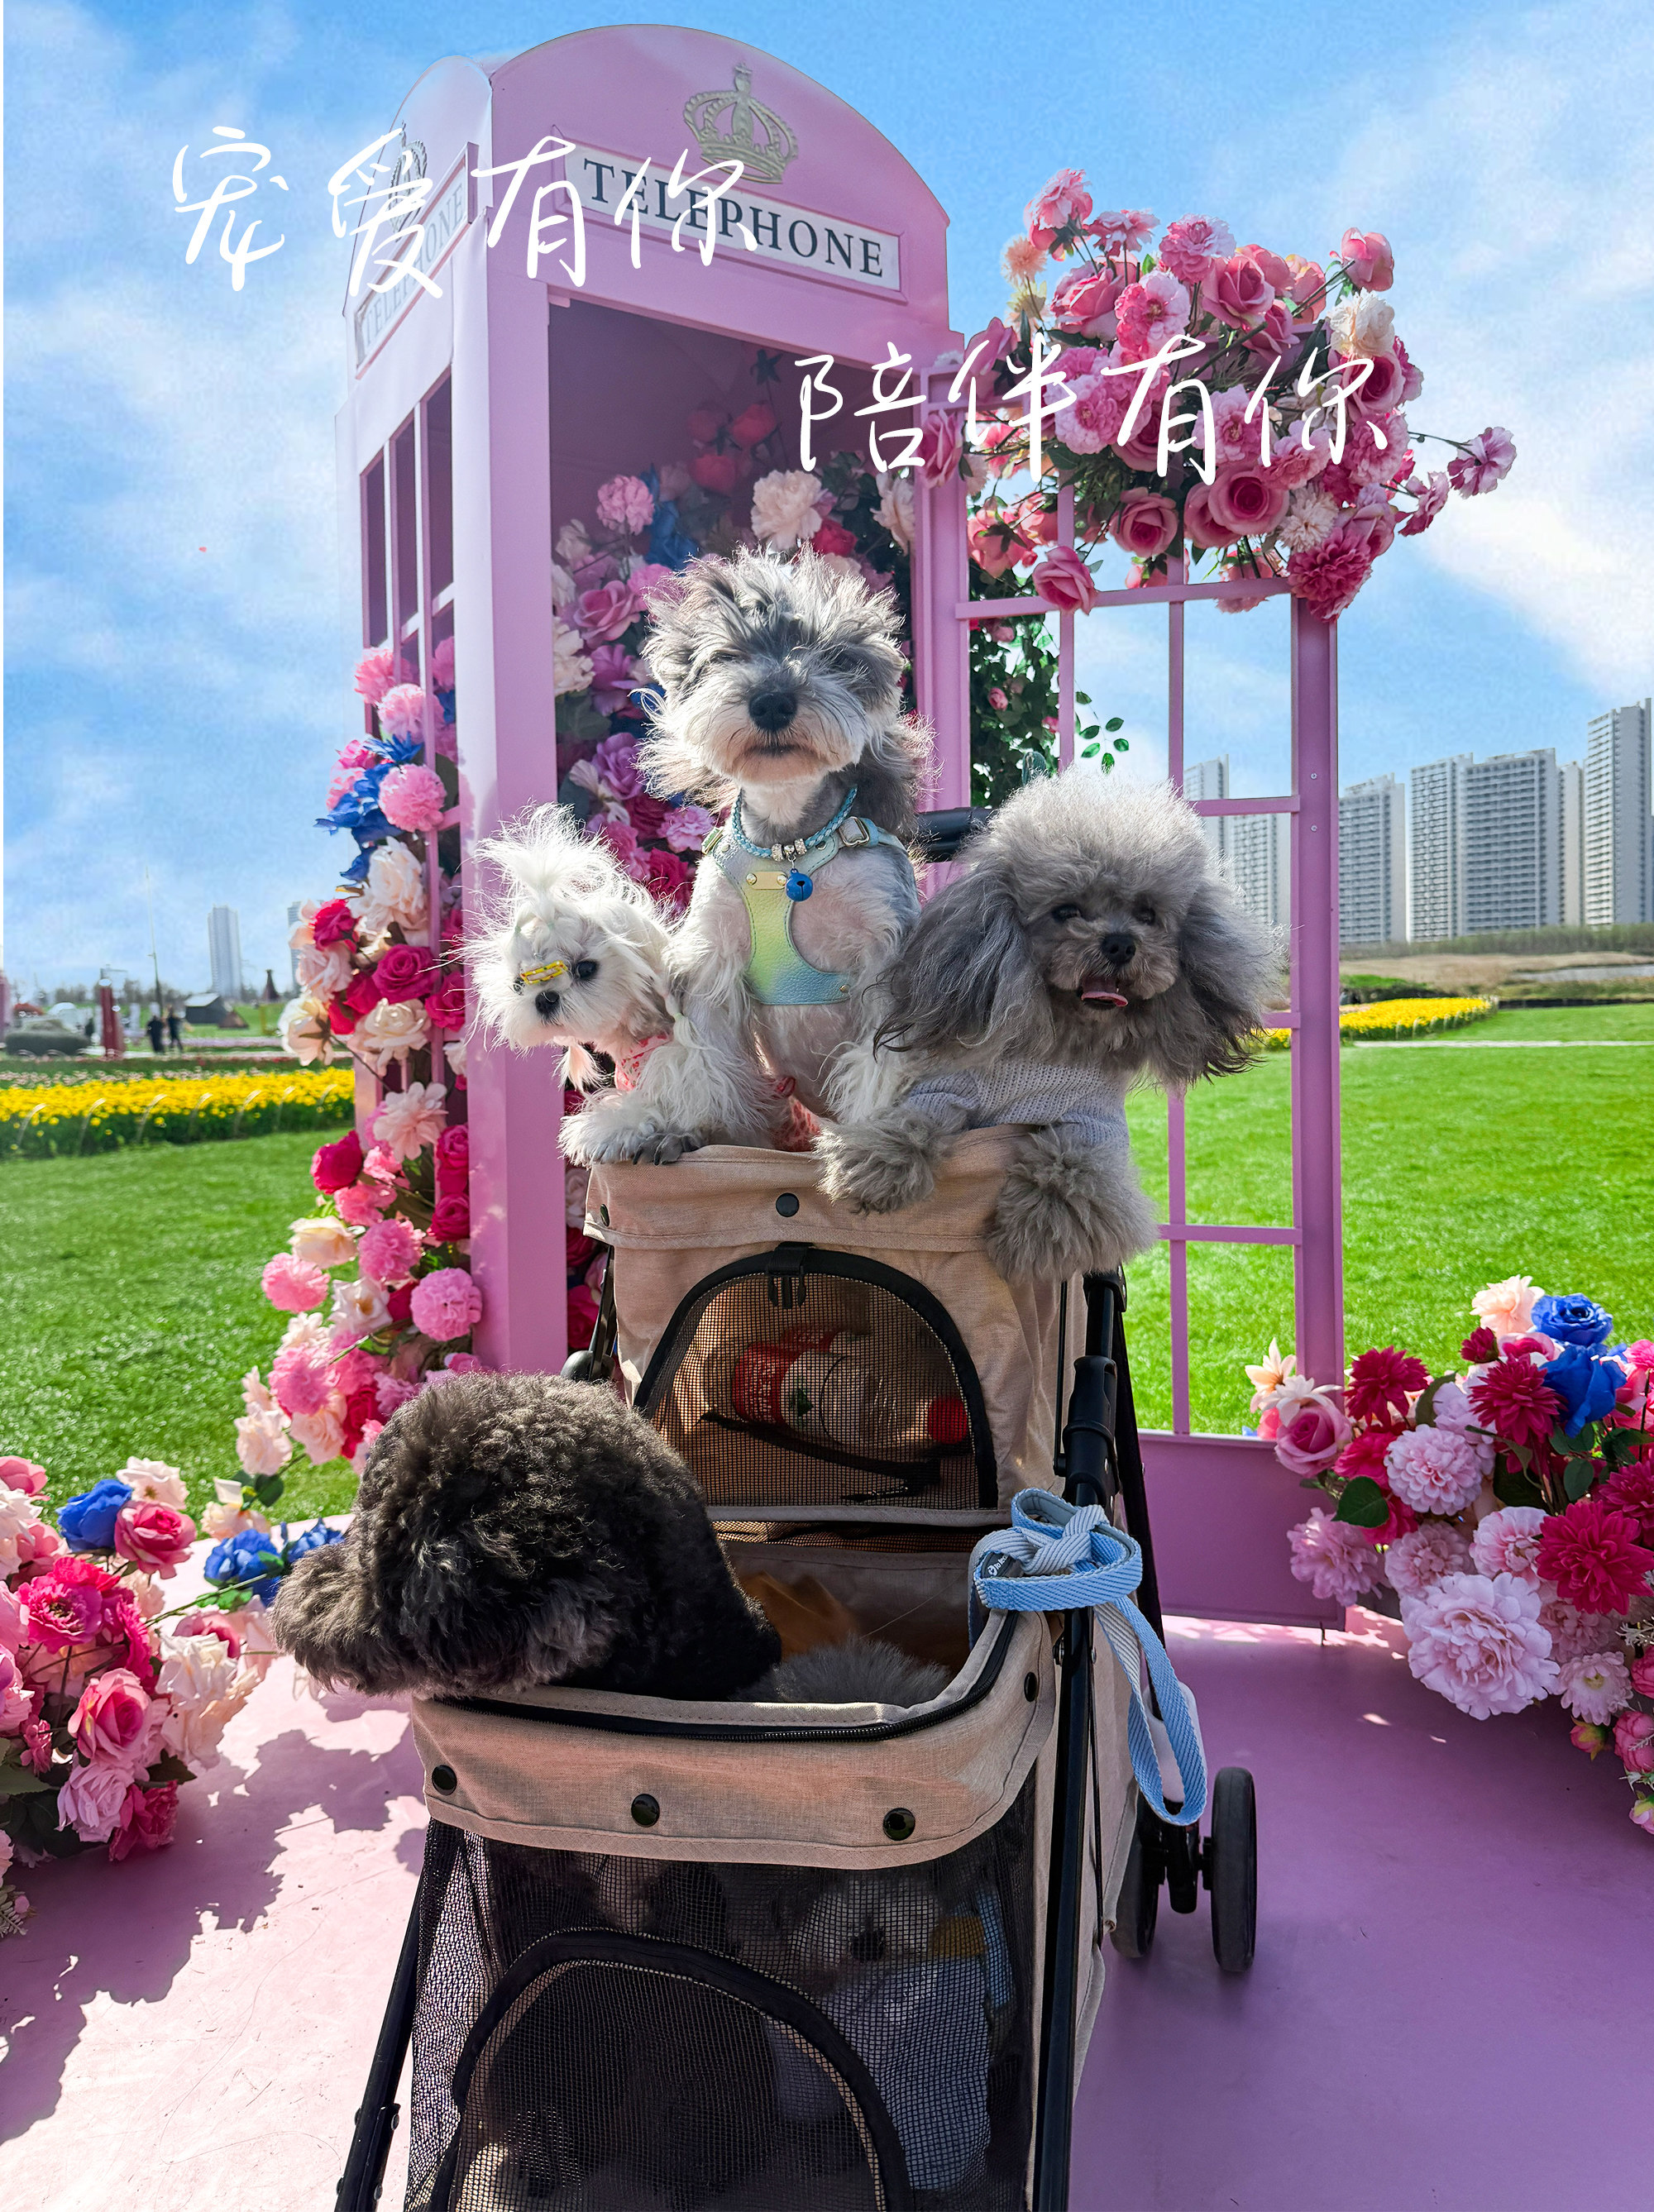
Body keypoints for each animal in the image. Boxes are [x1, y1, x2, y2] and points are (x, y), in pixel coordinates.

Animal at [561, 550, 930, 1163]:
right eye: (726, 656)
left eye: (832, 657)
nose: (773, 700)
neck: (789, 855)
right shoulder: (712, 963)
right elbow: (707, 1059)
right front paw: (688, 1129)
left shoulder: (885, 955)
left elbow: (881, 1064)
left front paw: (871, 1138)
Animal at [818, 772, 1280, 1282]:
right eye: (1066, 911)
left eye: (1148, 915)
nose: (1121, 943)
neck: (1057, 1041)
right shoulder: (948, 1089)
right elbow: (912, 1121)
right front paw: (873, 1171)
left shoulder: (1091, 1125)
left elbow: (1069, 1172)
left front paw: (1028, 1239)